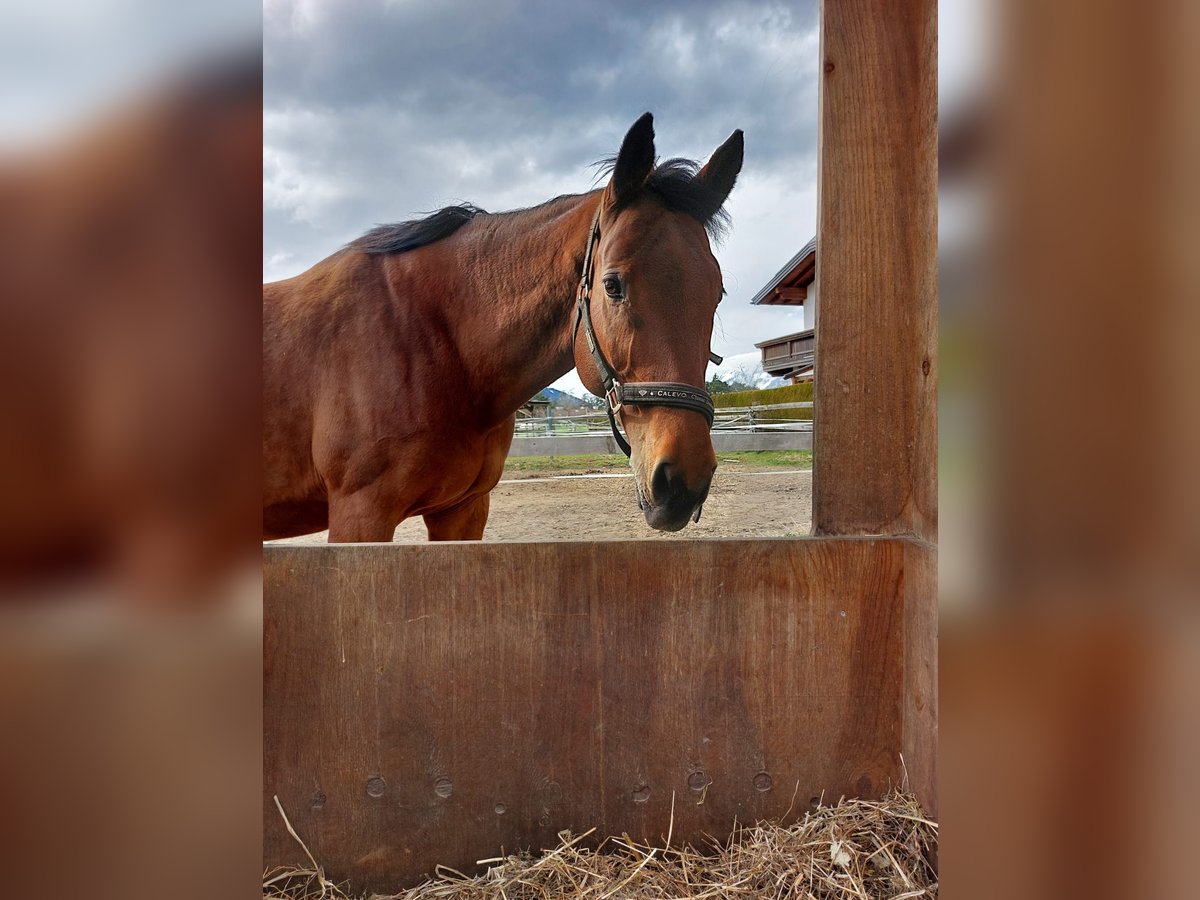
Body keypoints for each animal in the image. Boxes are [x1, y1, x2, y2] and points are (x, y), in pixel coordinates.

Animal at [265, 116, 739, 547]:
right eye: (612, 285)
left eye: (717, 293)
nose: (682, 483)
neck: (431, 344)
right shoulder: (361, 516)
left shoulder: (462, 512)